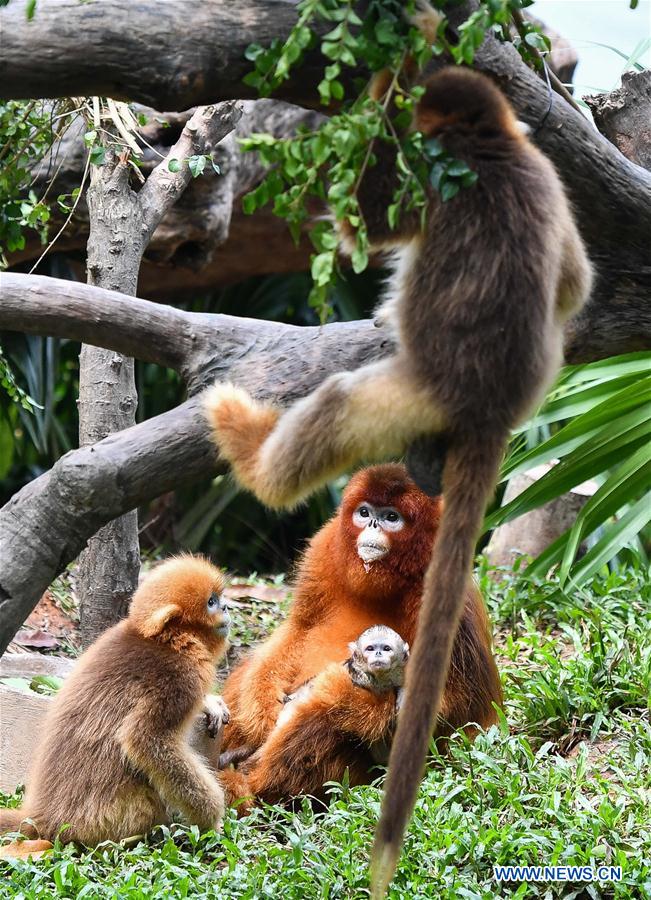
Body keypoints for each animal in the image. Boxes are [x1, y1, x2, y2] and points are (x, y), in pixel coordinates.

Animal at [0, 556, 233, 852]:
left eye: (219, 599)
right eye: (211, 602)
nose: (226, 607)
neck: (168, 641)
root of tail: (43, 817)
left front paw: (210, 703)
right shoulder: (180, 679)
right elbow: (143, 739)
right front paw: (211, 820)